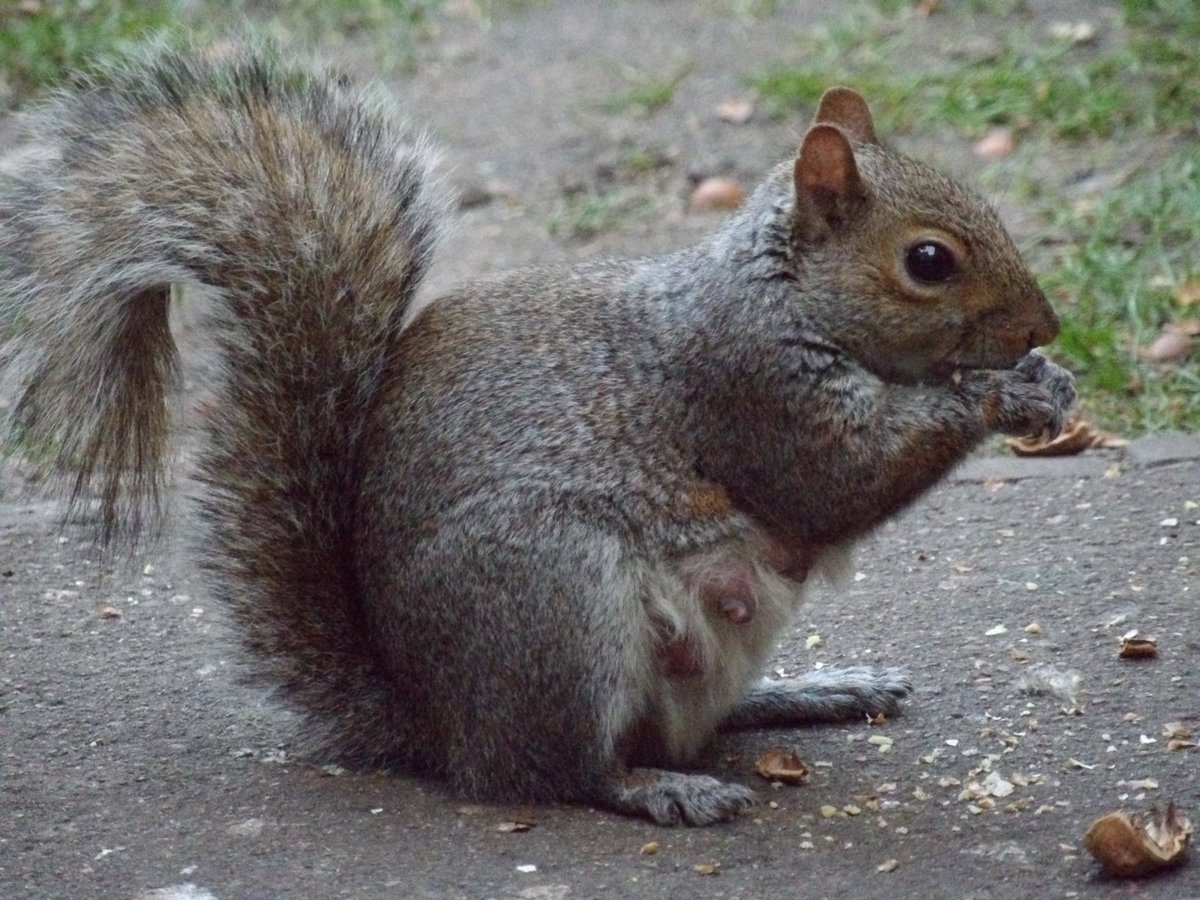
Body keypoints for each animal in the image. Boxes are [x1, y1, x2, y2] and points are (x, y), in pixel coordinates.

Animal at [0, 46, 1075, 826]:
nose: (1047, 328)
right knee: (555, 771)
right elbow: (839, 481)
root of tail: (438, 721)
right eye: (929, 261)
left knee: (680, 722)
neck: (777, 292)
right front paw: (1001, 396)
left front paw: (1044, 383)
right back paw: (658, 789)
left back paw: (813, 691)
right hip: (554, 597)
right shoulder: (747, 389)